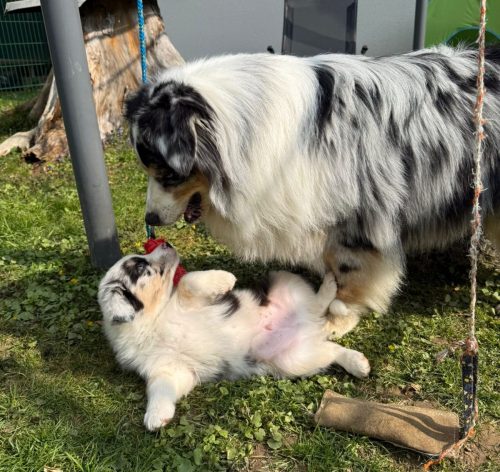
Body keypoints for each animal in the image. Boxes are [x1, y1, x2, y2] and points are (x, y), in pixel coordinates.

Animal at [98, 243, 370, 431]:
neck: (154, 321)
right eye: (140, 267)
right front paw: (156, 416)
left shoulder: (190, 300)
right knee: (331, 349)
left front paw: (225, 278)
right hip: (294, 360)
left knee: (318, 303)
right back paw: (358, 363)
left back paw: (330, 286)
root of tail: (309, 324)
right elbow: (159, 390)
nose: (166, 243)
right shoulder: (170, 370)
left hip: (286, 281)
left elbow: (189, 281)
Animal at [124, 46, 500, 336]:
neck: (245, 129)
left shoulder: (358, 217)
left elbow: (350, 270)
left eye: (168, 174)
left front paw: (337, 318)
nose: (150, 219)